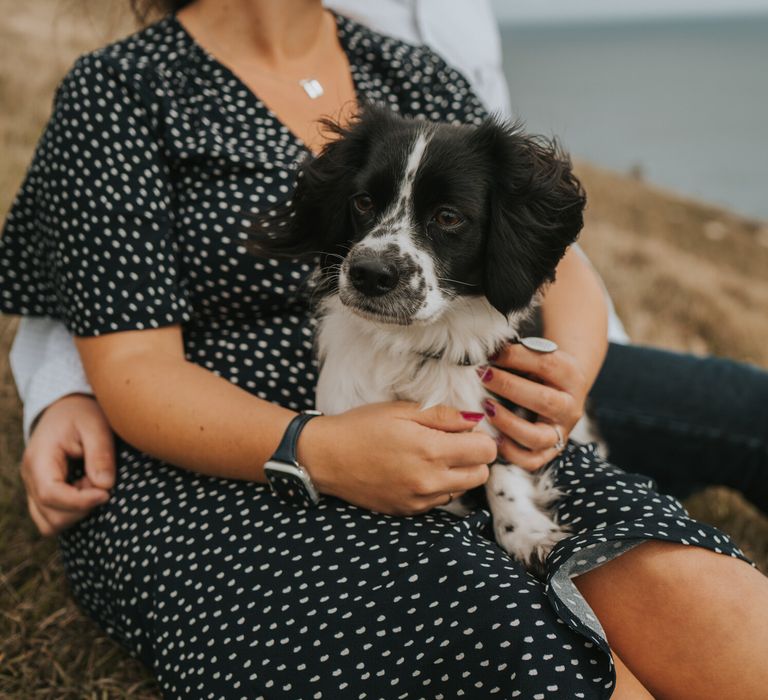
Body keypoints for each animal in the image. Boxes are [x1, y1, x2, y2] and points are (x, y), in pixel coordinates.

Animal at [254, 106, 588, 572]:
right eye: (363, 201)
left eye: (448, 216)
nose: (369, 273)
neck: (415, 343)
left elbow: (504, 458)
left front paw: (525, 531)